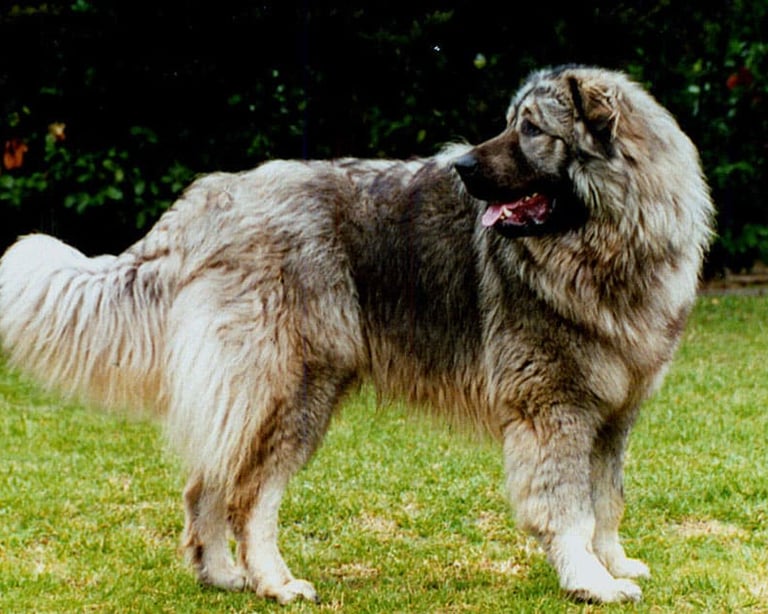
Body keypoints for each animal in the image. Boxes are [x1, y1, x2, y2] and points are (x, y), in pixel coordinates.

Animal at [0, 65, 714, 604]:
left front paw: (612, 562)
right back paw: (274, 582)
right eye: (514, 124)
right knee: (251, 497)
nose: (461, 165)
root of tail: (212, 199)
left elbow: (607, 499)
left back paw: (222, 575)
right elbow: (569, 507)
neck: (608, 244)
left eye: (531, 130)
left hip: (257, 395)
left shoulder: (613, 414)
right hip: (296, 391)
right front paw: (590, 580)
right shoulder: (554, 409)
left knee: (209, 482)